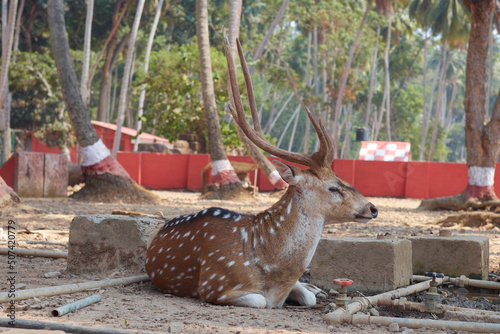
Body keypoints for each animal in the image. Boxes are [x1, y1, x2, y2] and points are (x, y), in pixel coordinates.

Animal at [145, 31, 378, 308]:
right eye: (333, 187)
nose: (373, 208)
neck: (271, 269)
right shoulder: (214, 285)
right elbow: (261, 301)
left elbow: (307, 297)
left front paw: (312, 290)